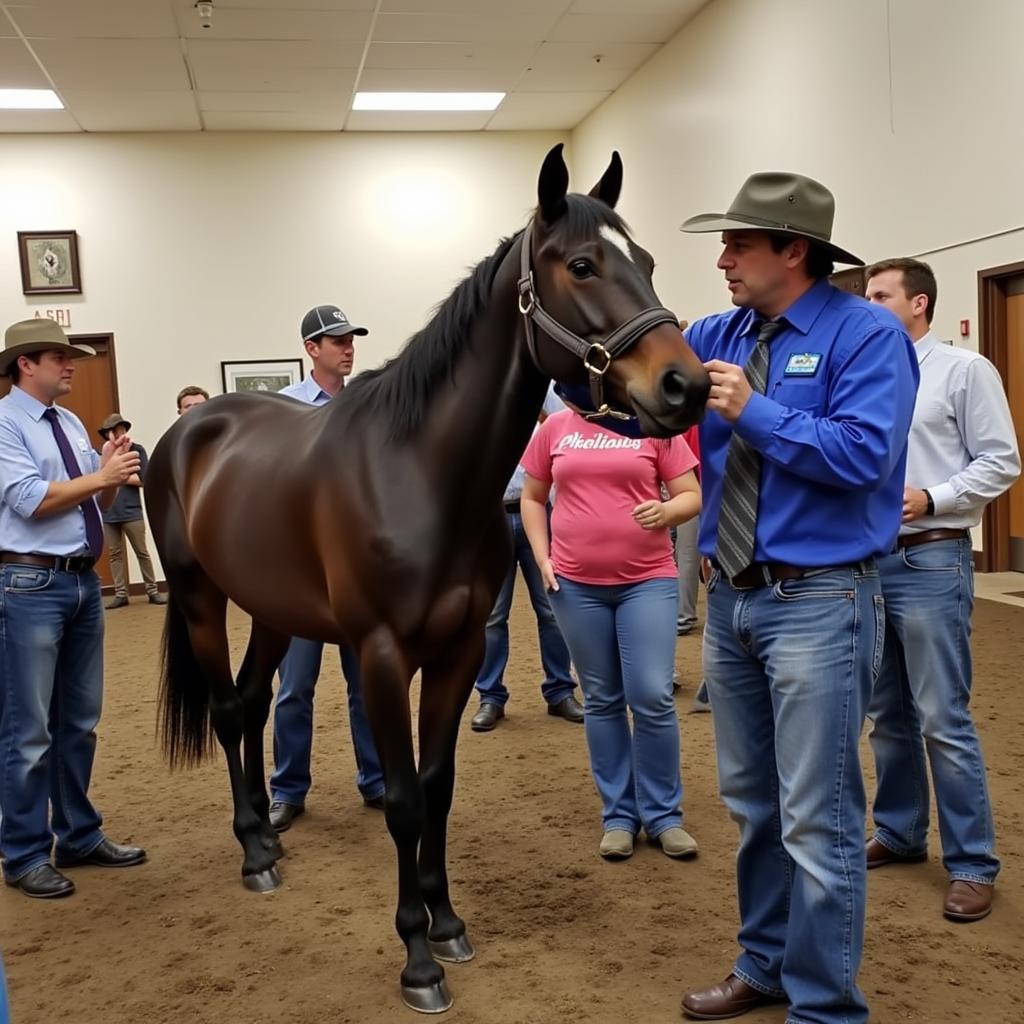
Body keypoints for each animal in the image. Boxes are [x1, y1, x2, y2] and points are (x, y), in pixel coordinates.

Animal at [144, 144, 712, 1015]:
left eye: (645, 261)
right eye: (582, 264)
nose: (687, 387)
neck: (416, 471)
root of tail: (190, 427)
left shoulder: (457, 652)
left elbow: (438, 786)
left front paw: (448, 924)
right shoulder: (382, 656)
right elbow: (406, 800)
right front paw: (417, 957)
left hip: (274, 611)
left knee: (250, 705)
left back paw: (268, 837)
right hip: (203, 598)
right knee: (225, 710)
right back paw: (253, 855)